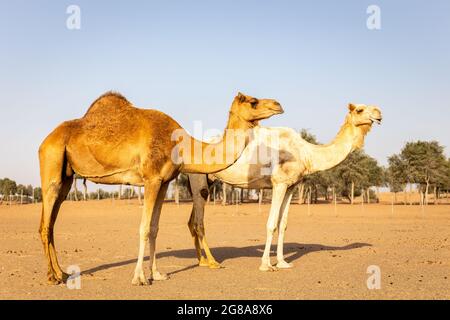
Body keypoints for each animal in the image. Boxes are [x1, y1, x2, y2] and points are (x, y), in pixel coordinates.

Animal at [40, 91, 284, 284]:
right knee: (45, 223)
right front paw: (139, 278)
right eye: (253, 101)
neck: (180, 145)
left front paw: (156, 274)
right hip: (52, 165)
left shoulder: (164, 182)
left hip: (67, 177)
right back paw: (53, 277)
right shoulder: (151, 179)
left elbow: (155, 228)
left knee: (51, 223)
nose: (278, 104)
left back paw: (62, 273)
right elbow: (144, 228)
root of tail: (45, 141)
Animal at [188, 104, 382, 272]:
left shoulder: (291, 186)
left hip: (209, 179)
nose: (379, 113)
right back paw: (211, 262)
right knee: (198, 222)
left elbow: (283, 224)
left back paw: (202, 261)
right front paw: (266, 265)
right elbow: (271, 224)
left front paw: (282, 262)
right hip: (198, 177)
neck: (306, 153)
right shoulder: (279, 183)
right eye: (359, 109)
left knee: (192, 221)